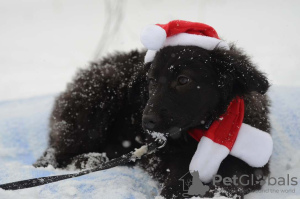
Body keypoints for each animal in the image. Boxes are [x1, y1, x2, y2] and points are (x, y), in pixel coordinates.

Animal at [34, 44, 270, 198]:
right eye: (151, 80)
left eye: (183, 80)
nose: (146, 121)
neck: (206, 128)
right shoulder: (162, 156)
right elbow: (179, 172)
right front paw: (179, 189)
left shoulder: (257, 164)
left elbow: (236, 174)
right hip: (93, 109)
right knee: (55, 154)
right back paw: (89, 160)